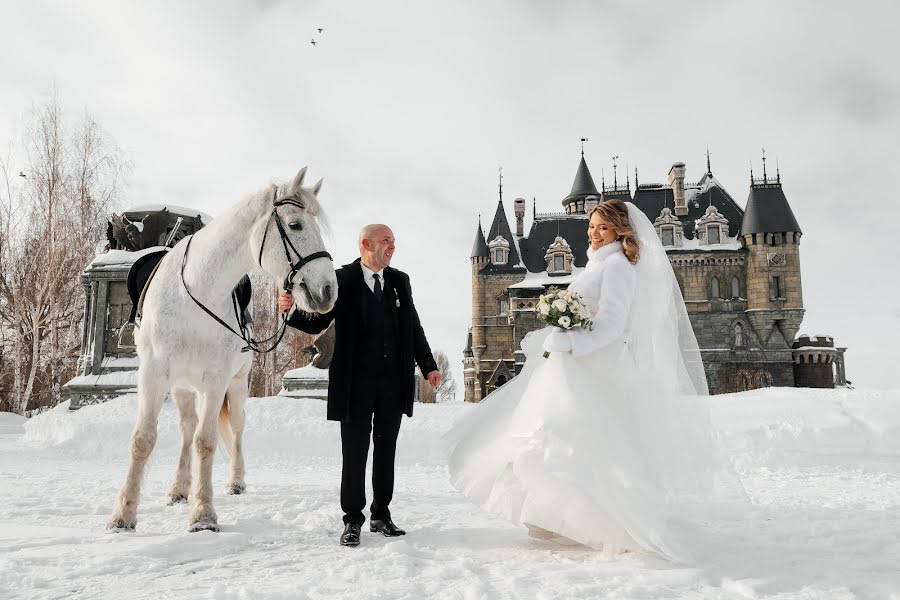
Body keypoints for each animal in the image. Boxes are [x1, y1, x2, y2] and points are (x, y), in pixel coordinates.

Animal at [108, 166, 338, 532]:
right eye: (295, 225)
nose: (328, 290)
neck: (197, 292)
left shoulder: (215, 380)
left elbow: (206, 442)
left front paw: (203, 514)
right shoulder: (154, 373)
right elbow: (143, 439)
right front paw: (123, 514)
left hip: (235, 386)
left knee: (234, 430)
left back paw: (235, 481)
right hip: (183, 387)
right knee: (187, 429)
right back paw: (179, 487)